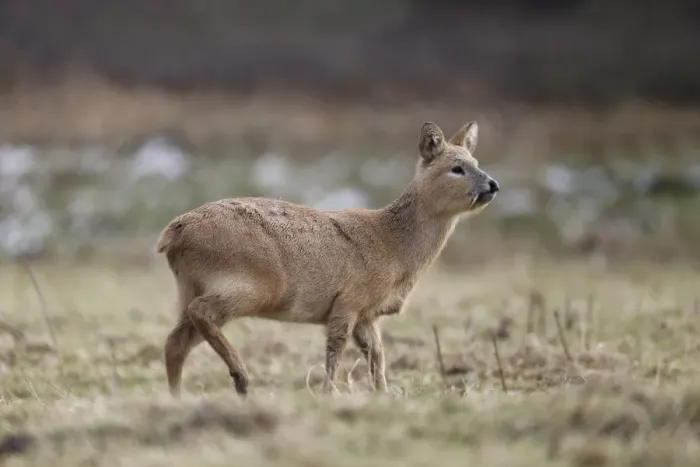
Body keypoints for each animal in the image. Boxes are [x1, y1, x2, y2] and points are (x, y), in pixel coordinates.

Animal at [156, 120, 499, 397]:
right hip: (250, 285)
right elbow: (337, 348)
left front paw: (383, 394)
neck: (393, 246)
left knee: (176, 340)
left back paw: (178, 397)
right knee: (200, 314)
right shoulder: (348, 300)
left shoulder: (367, 314)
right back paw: (241, 377)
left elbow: (377, 355)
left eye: (475, 161)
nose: (493, 184)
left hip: (194, 287)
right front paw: (328, 393)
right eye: (457, 168)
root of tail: (174, 233)